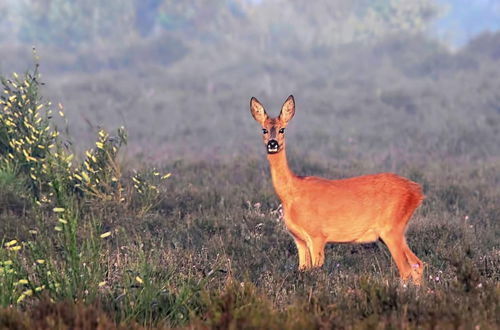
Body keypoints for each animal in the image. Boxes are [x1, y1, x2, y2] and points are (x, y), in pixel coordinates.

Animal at [248, 94, 424, 284]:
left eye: (282, 130)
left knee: (406, 269)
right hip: (396, 231)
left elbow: (315, 271)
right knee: (418, 264)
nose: (272, 144)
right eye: (264, 130)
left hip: (391, 228)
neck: (291, 194)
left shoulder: (317, 235)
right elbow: (302, 269)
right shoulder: (299, 239)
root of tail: (417, 191)